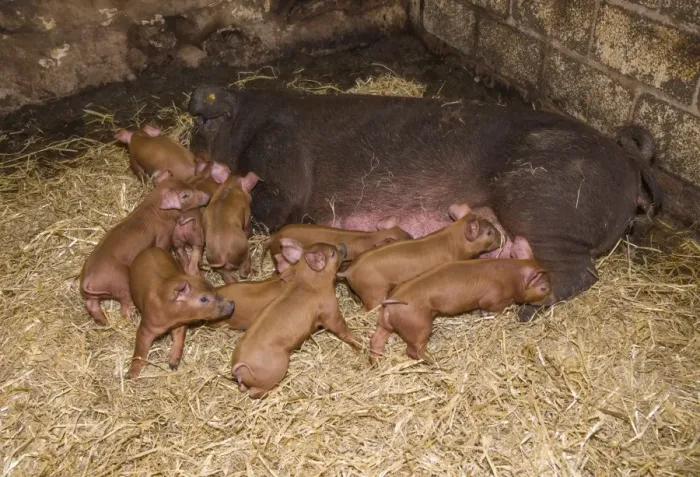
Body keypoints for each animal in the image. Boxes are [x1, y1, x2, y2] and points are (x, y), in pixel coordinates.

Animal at [79, 170, 210, 325]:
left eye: (187, 183)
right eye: (185, 195)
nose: (207, 196)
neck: (158, 208)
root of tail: (88, 279)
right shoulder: (164, 234)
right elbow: (162, 247)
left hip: (92, 295)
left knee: (91, 305)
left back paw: (104, 322)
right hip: (121, 281)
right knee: (124, 304)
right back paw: (130, 318)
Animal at [127, 247, 234, 378]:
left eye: (214, 289)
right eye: (203, 299)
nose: (232, 304)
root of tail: (149, 248)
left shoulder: (180, 324)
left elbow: (179, 340)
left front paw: (173, 366)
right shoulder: (146, 327)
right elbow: (140, 350)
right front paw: (131, 376)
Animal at [231, 239, 359, 399]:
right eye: (332, 253)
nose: (342, 245)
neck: (310, 280)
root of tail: (239, 369)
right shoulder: (329, 310)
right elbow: (339, 326)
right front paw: (359, 342)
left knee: (243, 388)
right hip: (277, 368)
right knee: (254, 392)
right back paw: (278, 389)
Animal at [370, 238, 551, 363]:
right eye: (543, 288)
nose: (552, 301)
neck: (513, 278)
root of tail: (389, 305)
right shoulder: (492, 298)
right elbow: (493, 306)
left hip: (384, 324)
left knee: (375, 341)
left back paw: (377, 363)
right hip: (418, 326)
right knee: (413, 351)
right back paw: (434, 361)